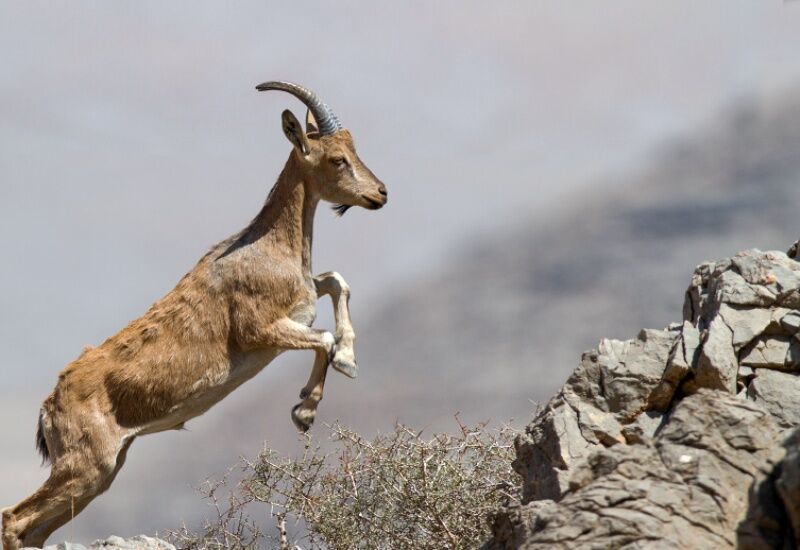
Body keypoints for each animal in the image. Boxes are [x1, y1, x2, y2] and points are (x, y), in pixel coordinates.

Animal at [0, 82, 388, 550]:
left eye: (354, 148)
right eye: (337, 158)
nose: (381, 194)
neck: (270, 247)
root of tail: (48, 408)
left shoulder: (301, 306)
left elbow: (335, 281)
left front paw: (343, 365)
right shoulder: (262, 330)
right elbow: (324, 337)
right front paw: (308, 407)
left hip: (101, 473)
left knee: (35, 530)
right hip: (86, 464)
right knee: (14, 519)